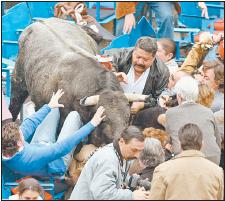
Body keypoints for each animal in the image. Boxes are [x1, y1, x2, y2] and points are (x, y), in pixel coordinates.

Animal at [8, 18, 147, 147]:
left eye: (128, 118)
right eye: (104, 120)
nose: (119, 140)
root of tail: (41, 21)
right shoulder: (64, 119)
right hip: (18, 81)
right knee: (14, 105)